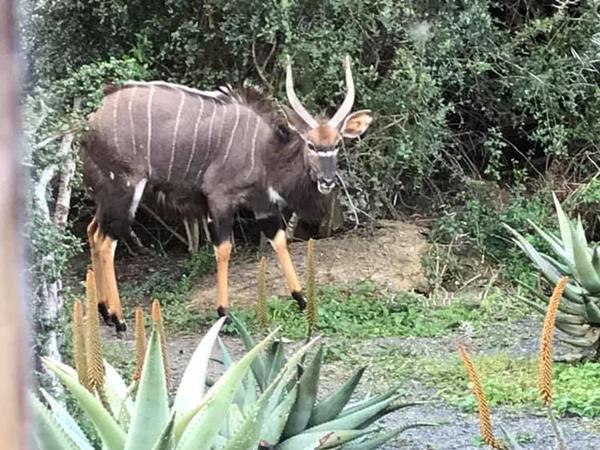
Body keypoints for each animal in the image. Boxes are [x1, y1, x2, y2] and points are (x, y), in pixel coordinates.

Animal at [82, 55, 372, 330]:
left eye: (336, 144)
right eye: (310, 144)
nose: (327, 180)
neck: (265, 152)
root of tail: (90, 120)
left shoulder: (263, 204)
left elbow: (279, 241)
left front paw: (301, 299)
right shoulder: (220, 199)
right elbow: (223, 248)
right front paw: (224, 312)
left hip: (105, 193)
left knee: (93, 232)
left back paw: (103, 311)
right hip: (124, 187)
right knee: (107, 241)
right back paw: (119, 319)